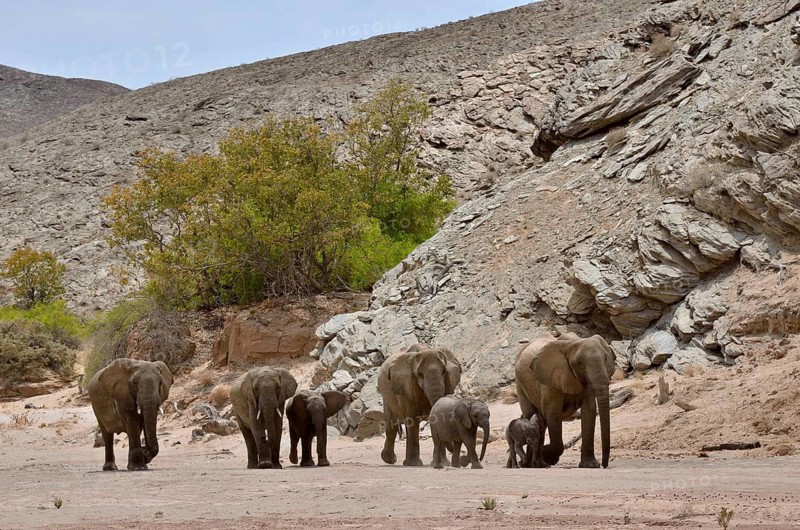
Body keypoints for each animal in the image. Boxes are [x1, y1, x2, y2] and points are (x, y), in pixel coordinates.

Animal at [515, 333, 615, 468]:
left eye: (605, 360)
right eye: (580, 364)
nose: (604, 465)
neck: (573, 343)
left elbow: (589, 411)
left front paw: (590, 466)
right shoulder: (550, 379)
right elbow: (553, 412)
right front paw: (548, 454)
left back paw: (537, 464)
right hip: (520, 383)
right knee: (534, 417)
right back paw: (531, 465)